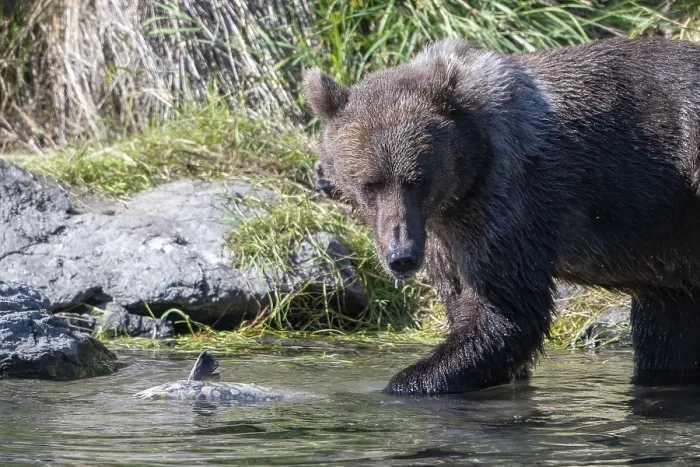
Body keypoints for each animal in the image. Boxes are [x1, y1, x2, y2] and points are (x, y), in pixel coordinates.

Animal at [303, 37, 700, 396]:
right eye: (370, 184)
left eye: (417, 179)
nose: (401, 256)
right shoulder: (442, 232)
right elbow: (463, 300)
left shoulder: (507, 198)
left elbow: (505, 311)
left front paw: (405, 381)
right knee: (665, 327)